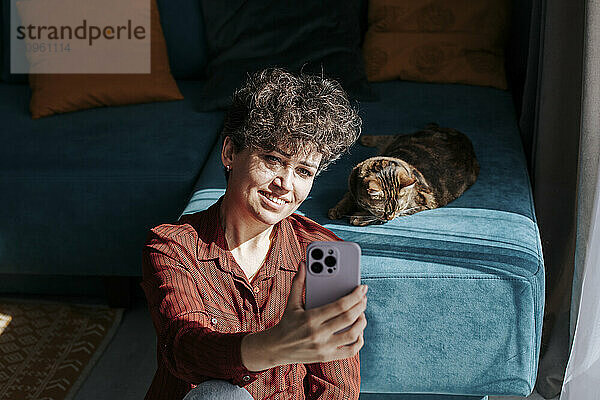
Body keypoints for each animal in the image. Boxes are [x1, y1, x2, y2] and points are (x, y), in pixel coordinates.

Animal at [326, 122, 480, 225]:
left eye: (398, 208)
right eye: (381, 210)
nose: (390, 217)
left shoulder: (420, 204)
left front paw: (359, 216)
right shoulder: (351, 184)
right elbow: (347, 197)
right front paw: (337, 209)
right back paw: (366, 138)